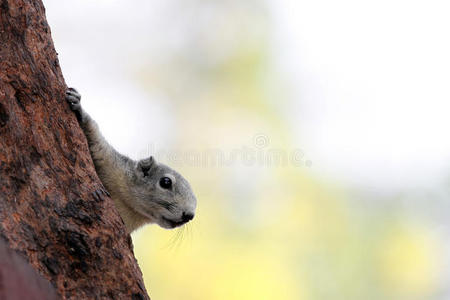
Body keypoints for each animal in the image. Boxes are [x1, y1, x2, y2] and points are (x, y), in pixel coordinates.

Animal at [65, 88, 197, 233]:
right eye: (166, 182)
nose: (189, 216)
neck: (133, 208)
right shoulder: (108, 160)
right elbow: (93, 135)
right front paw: (79, 107)